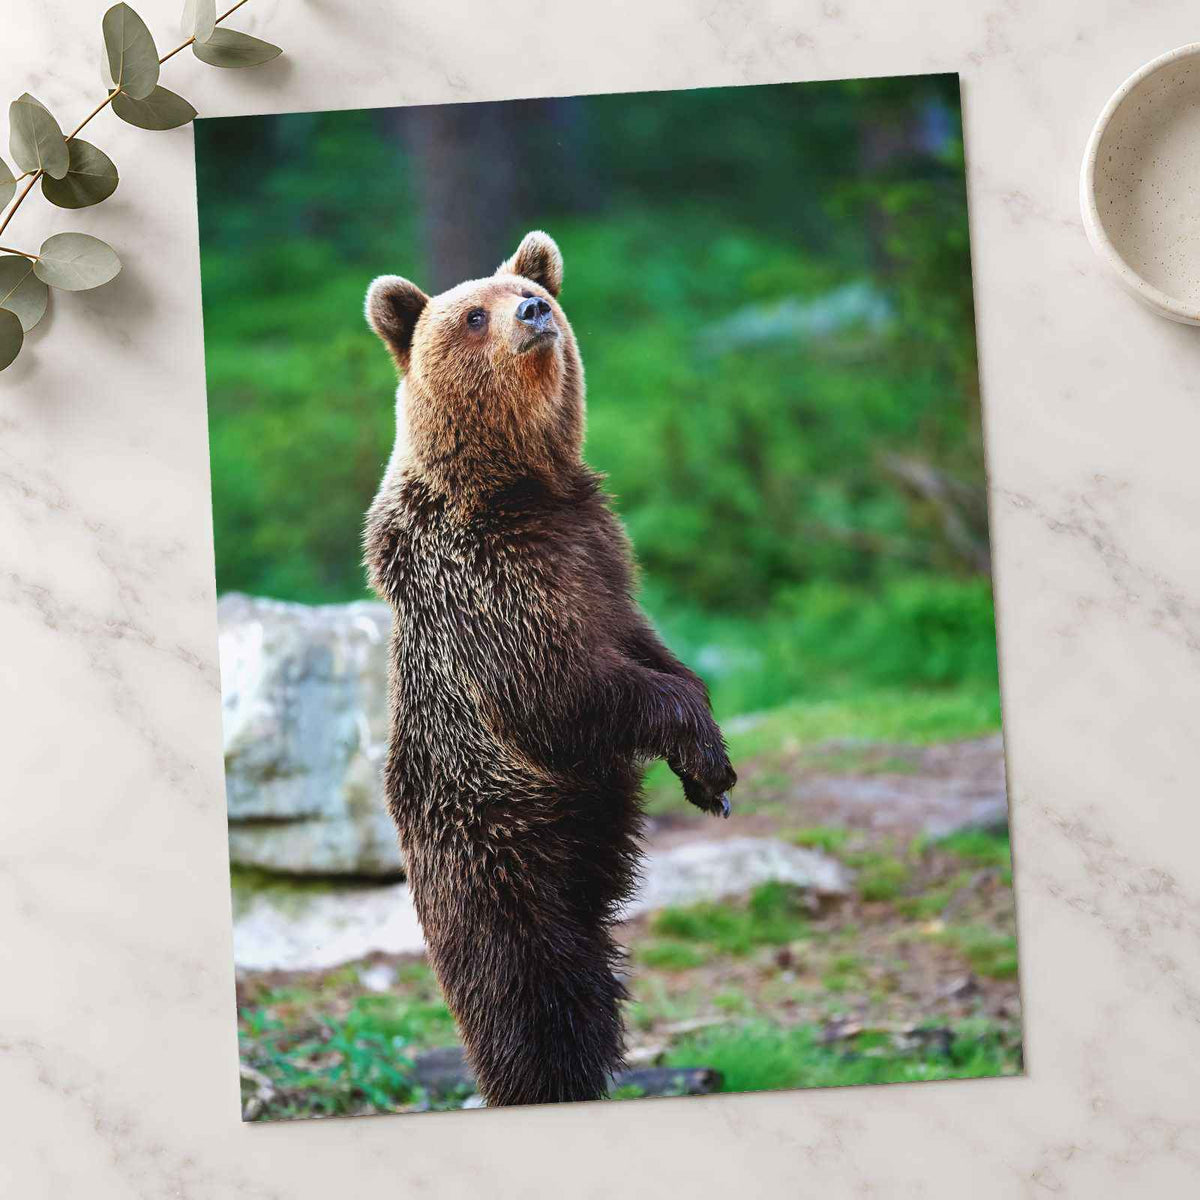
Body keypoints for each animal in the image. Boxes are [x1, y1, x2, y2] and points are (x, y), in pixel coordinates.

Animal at [363, 230, 736, 1107]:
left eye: (531, 293)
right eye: (473, 313)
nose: (533, 311)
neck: (523, 486)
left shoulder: (598, 551)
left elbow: (649, 647)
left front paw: (709, 767)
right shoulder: (490, 588)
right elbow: (562, 689)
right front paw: (704, 755)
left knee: (588, 988)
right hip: (497, 849)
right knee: (529, 993)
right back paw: (541, 1081)